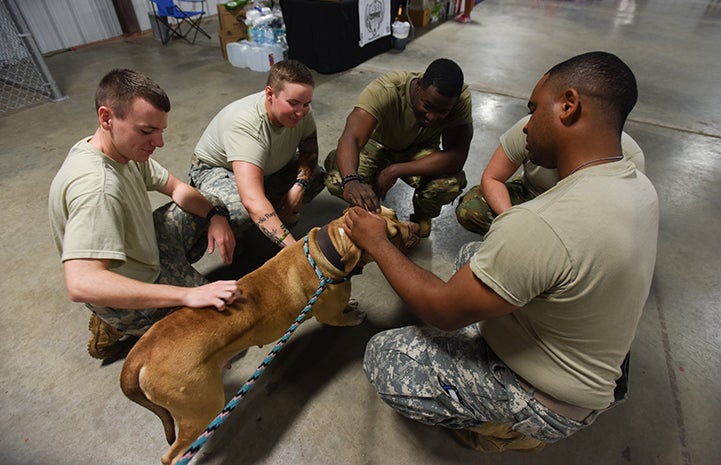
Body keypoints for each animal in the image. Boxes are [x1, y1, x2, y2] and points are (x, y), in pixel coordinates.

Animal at [121, 208, 420, 464]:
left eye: (394, 213)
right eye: (391, 234)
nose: (417, 227)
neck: (331, 248)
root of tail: (139, 356)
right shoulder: (330, 315)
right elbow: (341, 318)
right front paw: (353, 316)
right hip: (201, 406)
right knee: (171, 456)